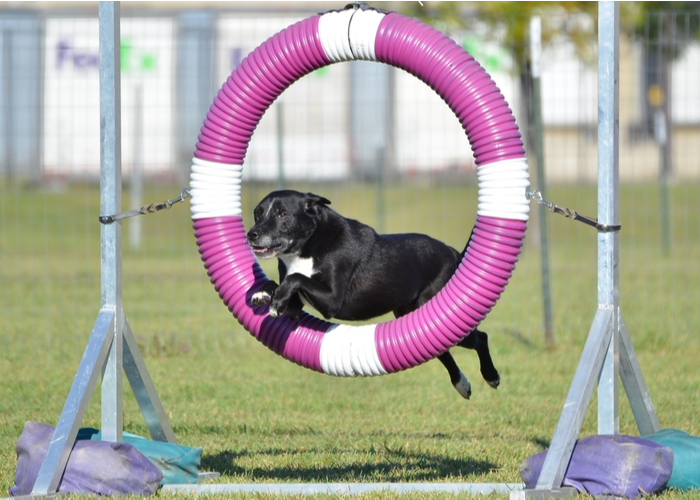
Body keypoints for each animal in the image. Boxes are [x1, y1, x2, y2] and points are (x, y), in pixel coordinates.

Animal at [246, 189, 498, 400]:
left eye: (282, 214)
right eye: (257, 213)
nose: (252, 234)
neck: (308, 244)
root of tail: (454, 254)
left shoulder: (331, 300)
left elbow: (295, 278)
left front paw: (275, 302)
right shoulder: (296, 308)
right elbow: (279, 282)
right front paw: (263, 295)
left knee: (481, 338)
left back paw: (491, 376)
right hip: (415, 316)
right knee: (442, 350)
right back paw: (462, 384)